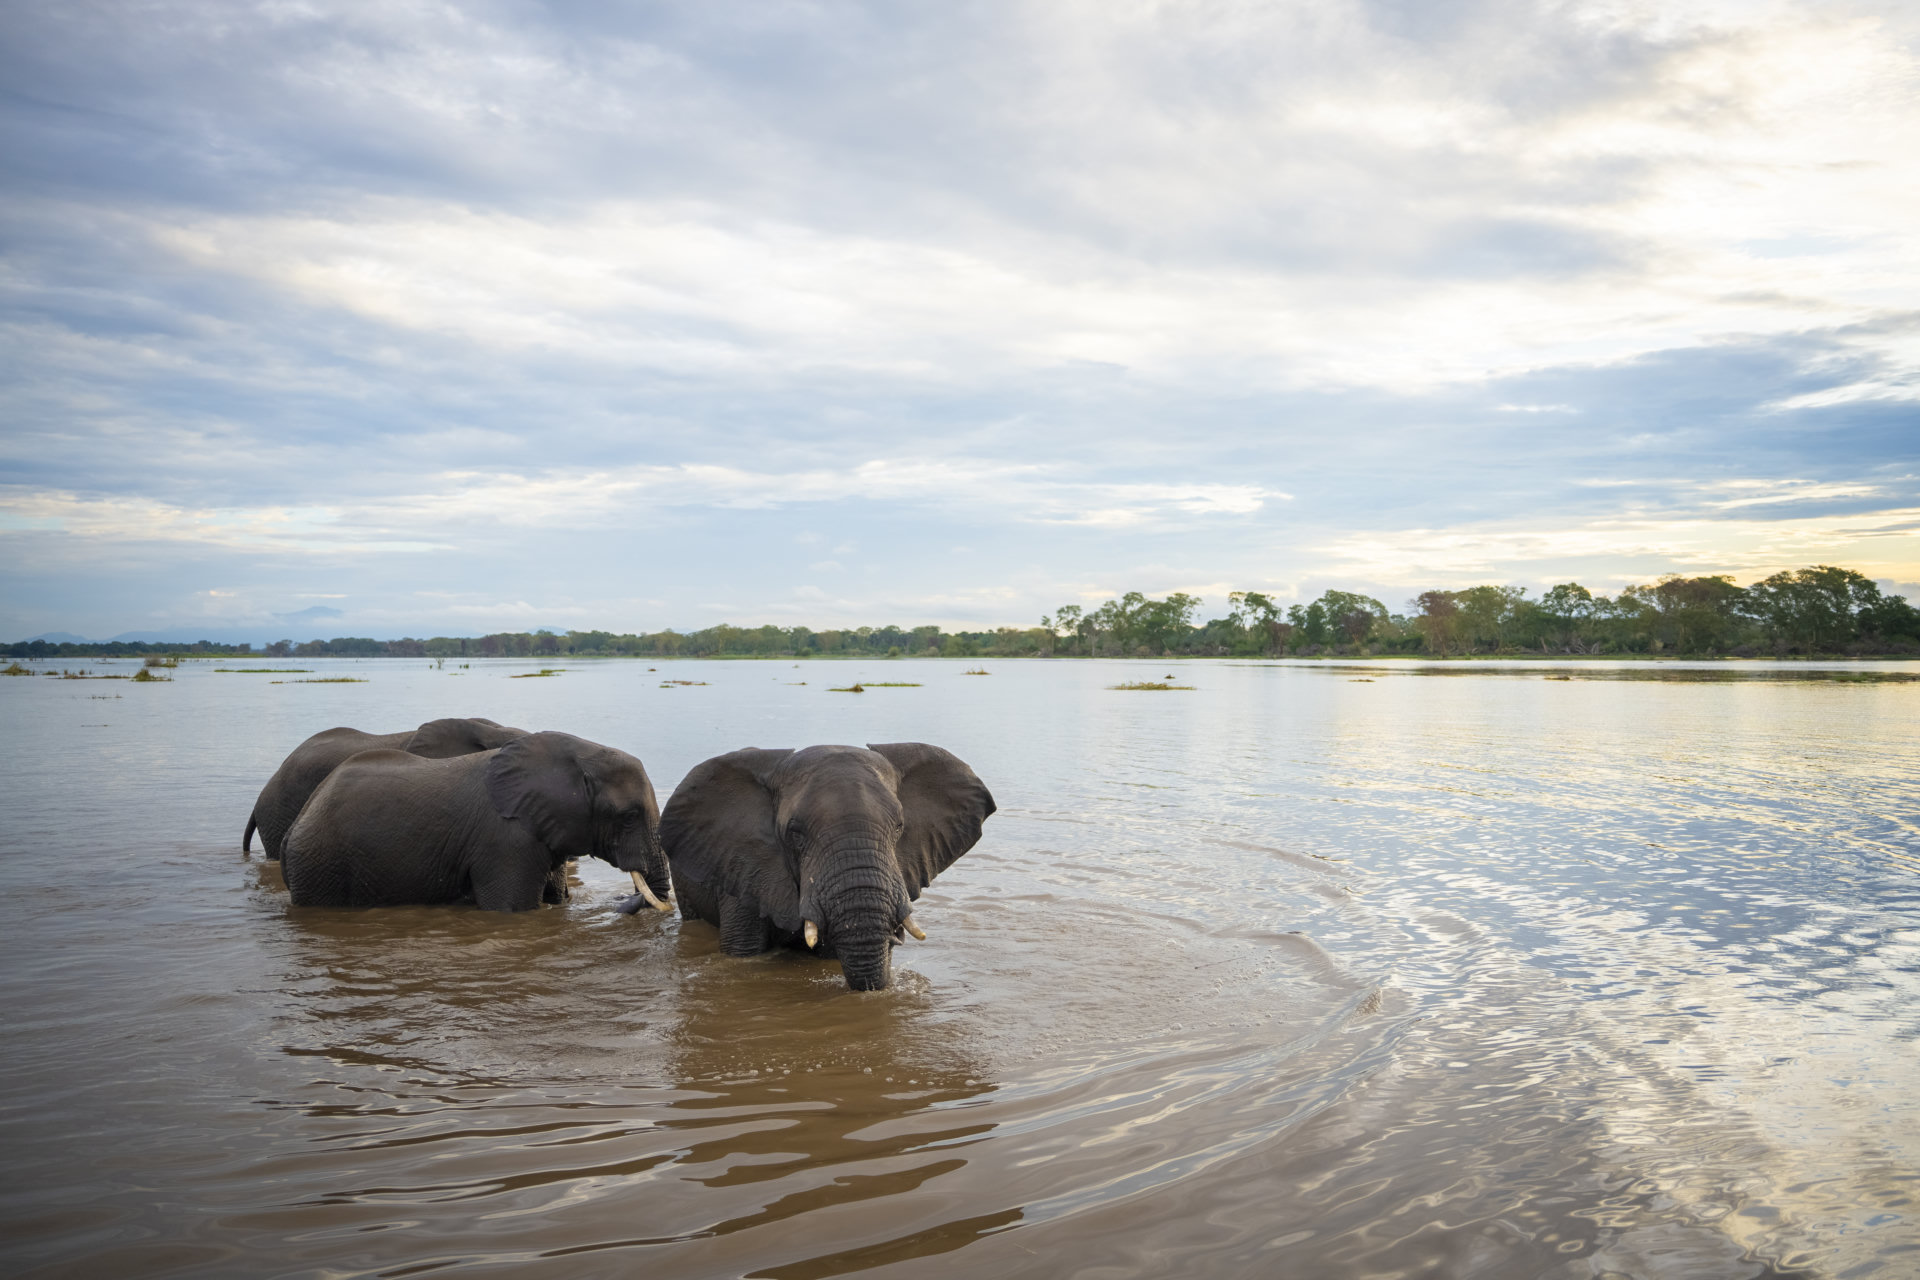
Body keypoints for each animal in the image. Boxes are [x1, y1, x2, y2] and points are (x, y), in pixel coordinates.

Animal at [281, 731, 674, 914]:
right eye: (628, 816)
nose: (624, 896)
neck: (581, 754)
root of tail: (296, 825)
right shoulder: (506, 840)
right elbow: (512, 907)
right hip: (320, 865)